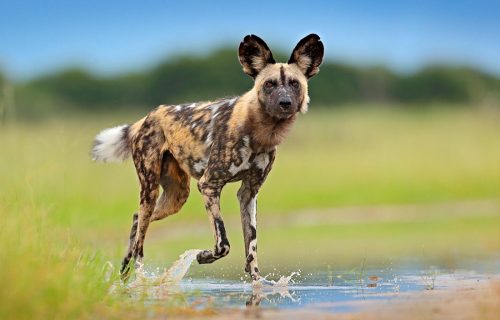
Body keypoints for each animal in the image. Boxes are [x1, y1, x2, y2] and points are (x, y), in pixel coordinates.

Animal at [91, 33, 324, 282]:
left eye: (294, 83)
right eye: (269, 84)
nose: (285, 103)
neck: (261, 131)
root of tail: (147, 117)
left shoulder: (248, 193)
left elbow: (251, 249)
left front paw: (258, 284)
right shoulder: (209, 186)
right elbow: (223, 243)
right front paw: (202, 256)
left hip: (176, 197)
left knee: (136, 223)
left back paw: (124, 274)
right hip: (150, 190)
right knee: (140, 242)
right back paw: (140, 279)